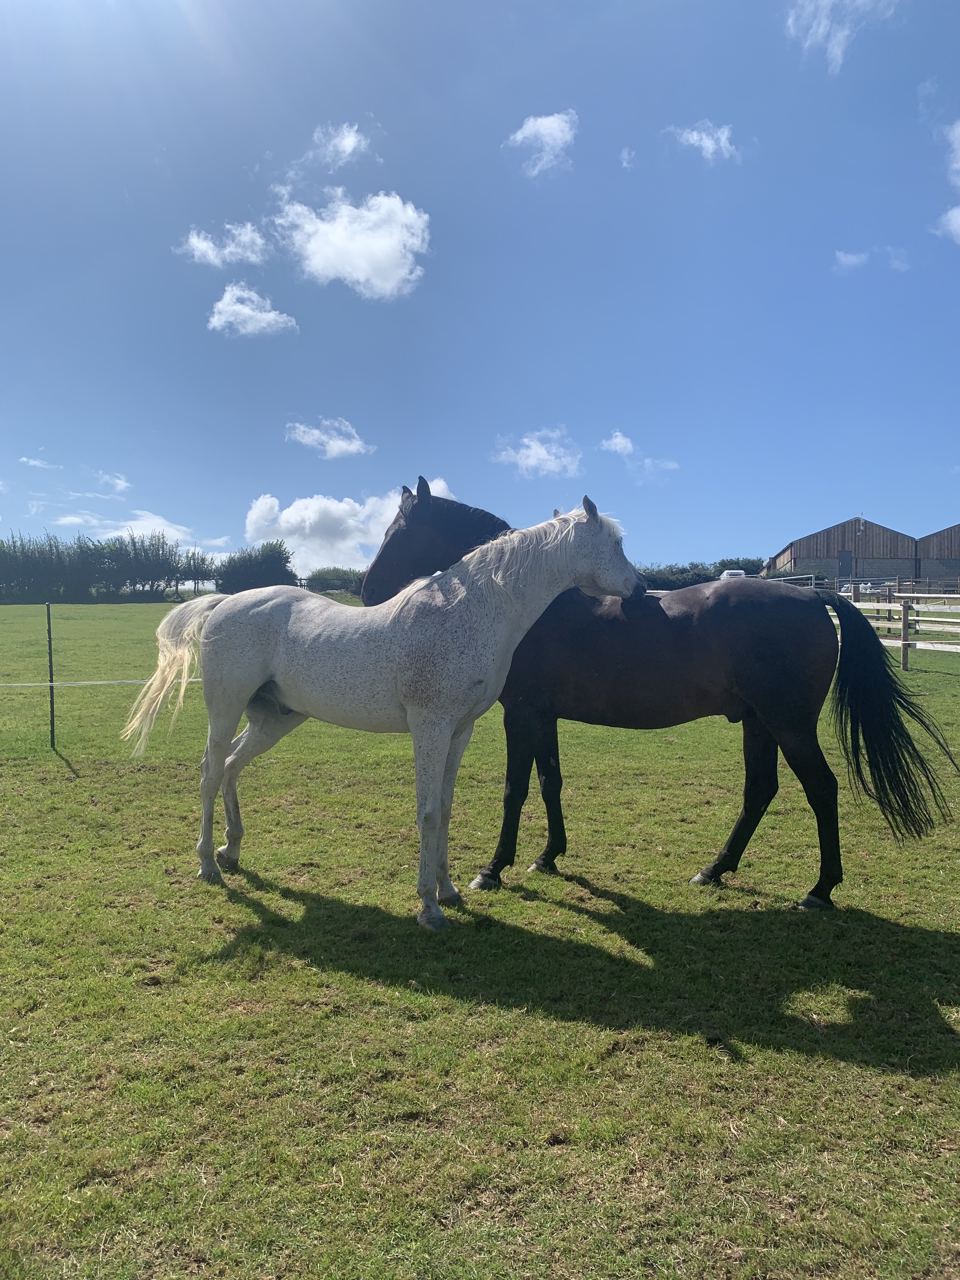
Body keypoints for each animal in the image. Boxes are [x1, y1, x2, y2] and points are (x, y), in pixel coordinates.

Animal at [122, 500, 638, 930]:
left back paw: (231, 849)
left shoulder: (459, 731)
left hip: (275, 719)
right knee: (210, 771)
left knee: (231, 765)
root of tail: (224, 602)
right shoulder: (430, 728)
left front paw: (449, 891)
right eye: (615, 543)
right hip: (226, 708)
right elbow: (427, 812)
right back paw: (208, 864)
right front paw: (428, 907)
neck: (468, 612)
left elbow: (445, 809)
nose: (638, 587)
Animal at [361, 478, 956, 910]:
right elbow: (551, 782)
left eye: (400, 532)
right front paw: (549, 857)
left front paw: (493, 868)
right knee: (760, 790)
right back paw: (715, 869)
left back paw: (820, 890)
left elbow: (516, 789)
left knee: (821, 790)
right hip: (759, 722)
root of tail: (814, 598)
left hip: (789, 725)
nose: (368, 593)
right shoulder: (545, 717)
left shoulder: (522, 715)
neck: (535, 607)